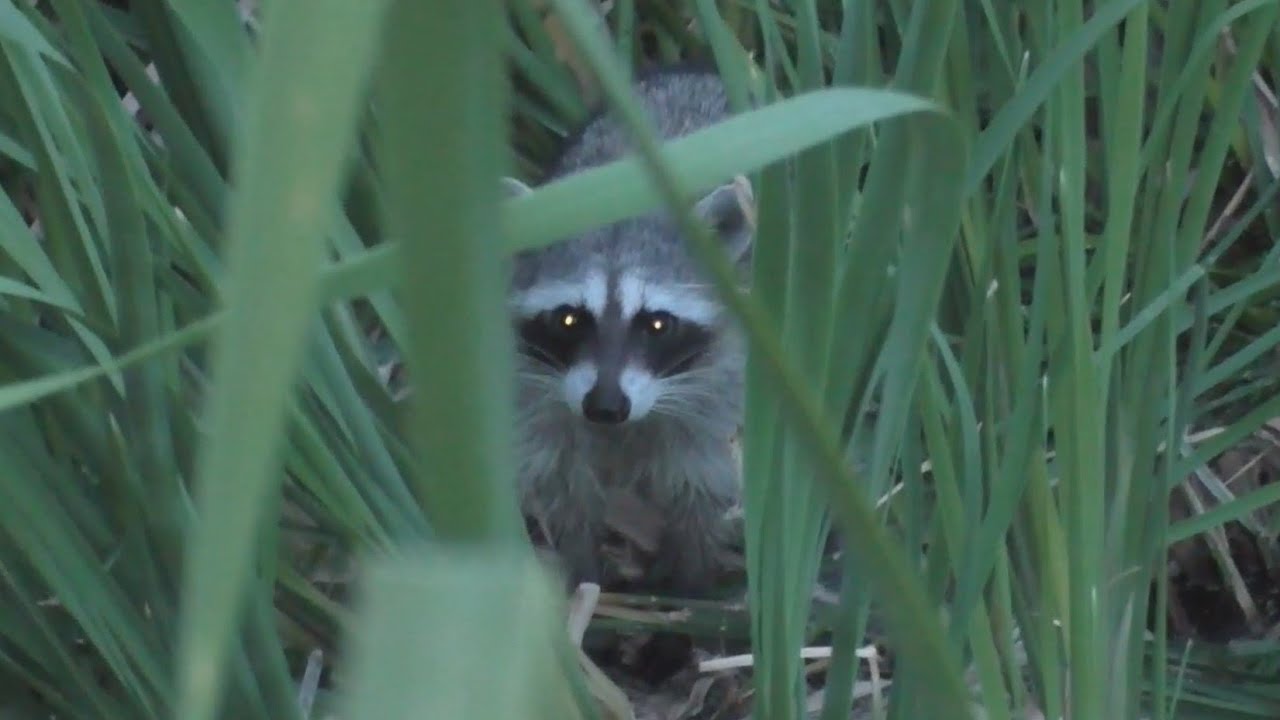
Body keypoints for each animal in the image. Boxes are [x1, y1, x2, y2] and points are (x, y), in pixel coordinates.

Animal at [504, 67, 752, 594]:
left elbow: (703, 480)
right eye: (569, 319)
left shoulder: (723, 381)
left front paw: (690, 580)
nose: (604, 407)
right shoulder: (533, 388)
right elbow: (562, 484)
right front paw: (581, 571)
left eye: (657, 323)